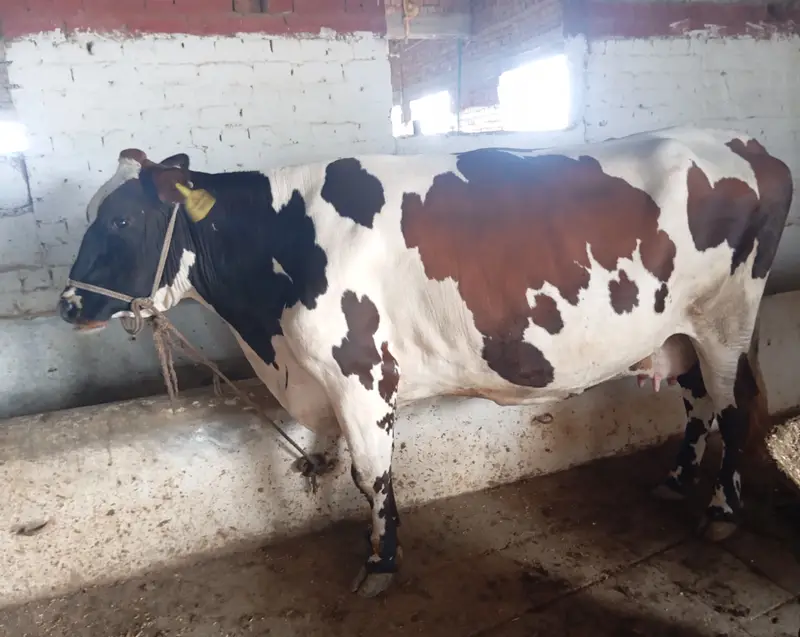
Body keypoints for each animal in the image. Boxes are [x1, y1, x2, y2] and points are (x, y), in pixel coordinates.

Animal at [58, 127, 792, 597]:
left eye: (121, 220)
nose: (67, 305)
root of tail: (749, 146)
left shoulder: (359, 375)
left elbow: (371, 474)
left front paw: (381, 562)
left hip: (724, 320)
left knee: (730, 409)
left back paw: (722, 511)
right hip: (677, 328)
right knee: (697, 402)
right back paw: (674, 480)